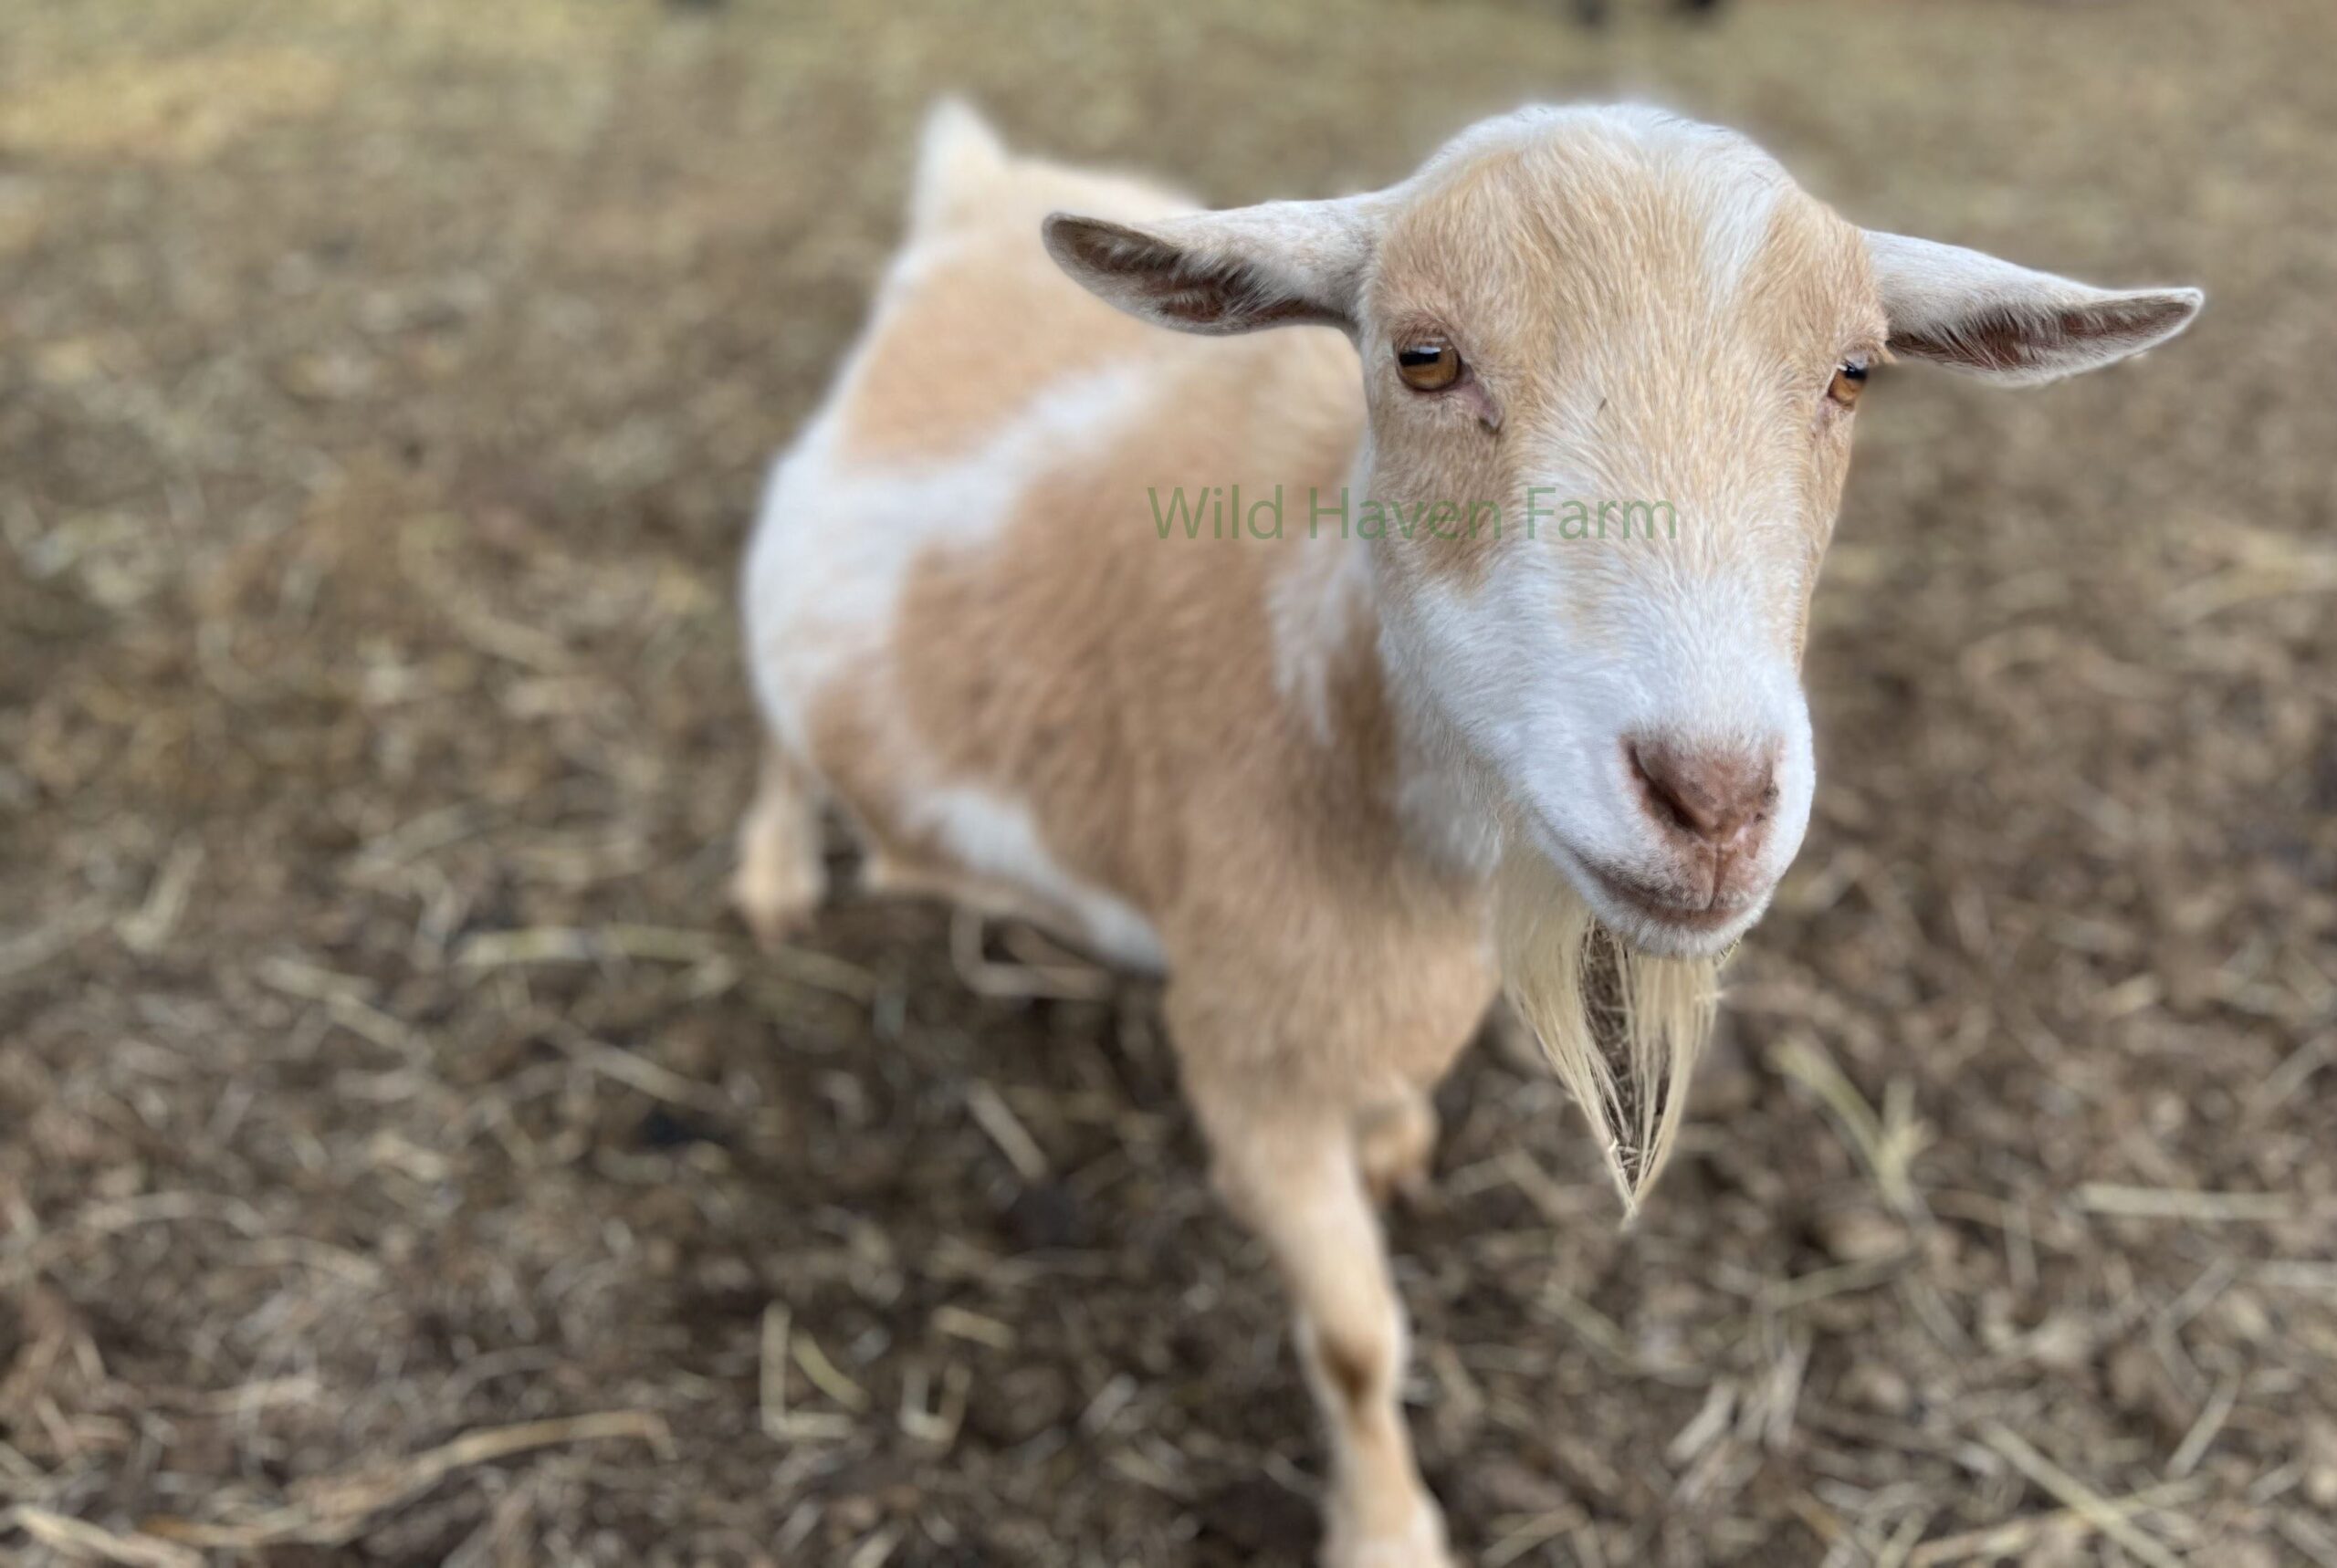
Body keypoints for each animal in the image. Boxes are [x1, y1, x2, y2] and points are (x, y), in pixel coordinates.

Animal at [736, 101, 2199, 1566]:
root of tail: (985, 180)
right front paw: (1388, 1529)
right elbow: (1354, 1339)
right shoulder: (1248, 1056)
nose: (1715, 799)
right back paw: (772, 876)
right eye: (1422, 356)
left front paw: (1395, 1143)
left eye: (1854, 374)